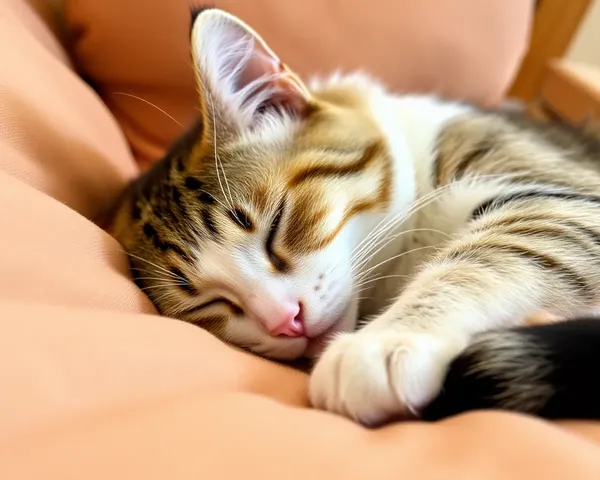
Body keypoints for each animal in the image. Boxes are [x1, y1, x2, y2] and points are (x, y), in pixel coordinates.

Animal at [110, 9, 600, 426]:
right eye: (207, 303)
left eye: (277, 225)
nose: (285, 320)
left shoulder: (562, 195)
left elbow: (495, 253)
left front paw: (386, 341)